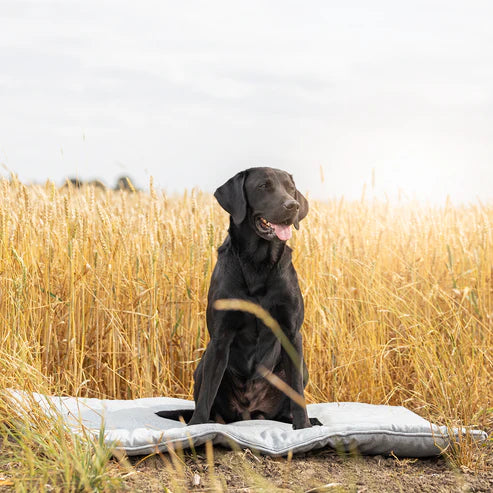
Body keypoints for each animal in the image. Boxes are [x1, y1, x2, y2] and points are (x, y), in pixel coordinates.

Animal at [158, 168, 320, 426]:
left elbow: (297, 392)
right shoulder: (220, 337)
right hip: (202, 364)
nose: (292, 205)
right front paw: (197, 426)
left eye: (291, 188)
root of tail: (250, 413)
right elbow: (208, 391)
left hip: (302, 367)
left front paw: (303, 426)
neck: (258, 263)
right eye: (263, 186)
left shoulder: (291, 333)